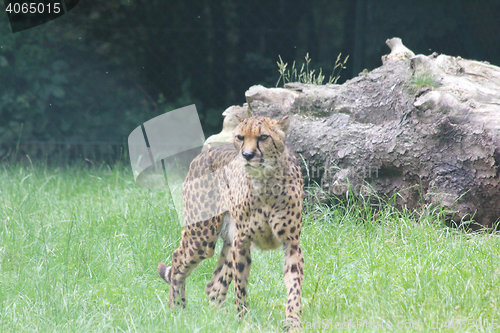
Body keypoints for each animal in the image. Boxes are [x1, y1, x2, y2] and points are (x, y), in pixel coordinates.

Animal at [158, 115, 304, 326]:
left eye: (264, 137)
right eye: (240, 137)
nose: (247, 155)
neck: (266, 182)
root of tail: (205, 153)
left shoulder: (291, 243)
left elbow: (294, 287)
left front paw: (293, 322)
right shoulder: (242, 241)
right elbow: (240, 287)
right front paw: (245, 322)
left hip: (227, 240)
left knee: (213, 287)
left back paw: (218, 320)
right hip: (203, 237)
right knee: (178, 258)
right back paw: (177, 309)